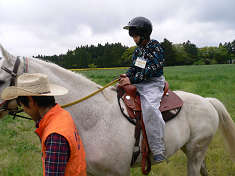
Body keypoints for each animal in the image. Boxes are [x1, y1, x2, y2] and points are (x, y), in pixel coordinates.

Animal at [1, 44, 235, 176]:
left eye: (3, 79)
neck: (93, 119)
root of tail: (207, 101)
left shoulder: (119, 172)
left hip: (195, 152)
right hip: (192, 151)